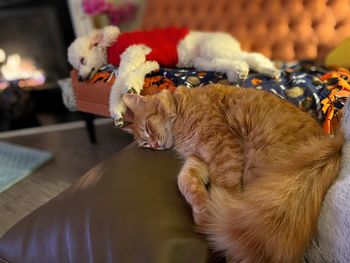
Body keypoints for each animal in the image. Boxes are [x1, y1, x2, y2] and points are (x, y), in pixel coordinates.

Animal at [121, 85, 344, 263]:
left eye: (148, 128)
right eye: (145, 145)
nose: (155, 145)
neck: (181, 108)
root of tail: (329, 144)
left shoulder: (222, 148)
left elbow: (225, 191)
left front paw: (214, 219)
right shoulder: (199, 159)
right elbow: (184, 180)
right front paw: (201, 209)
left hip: (256, 162)